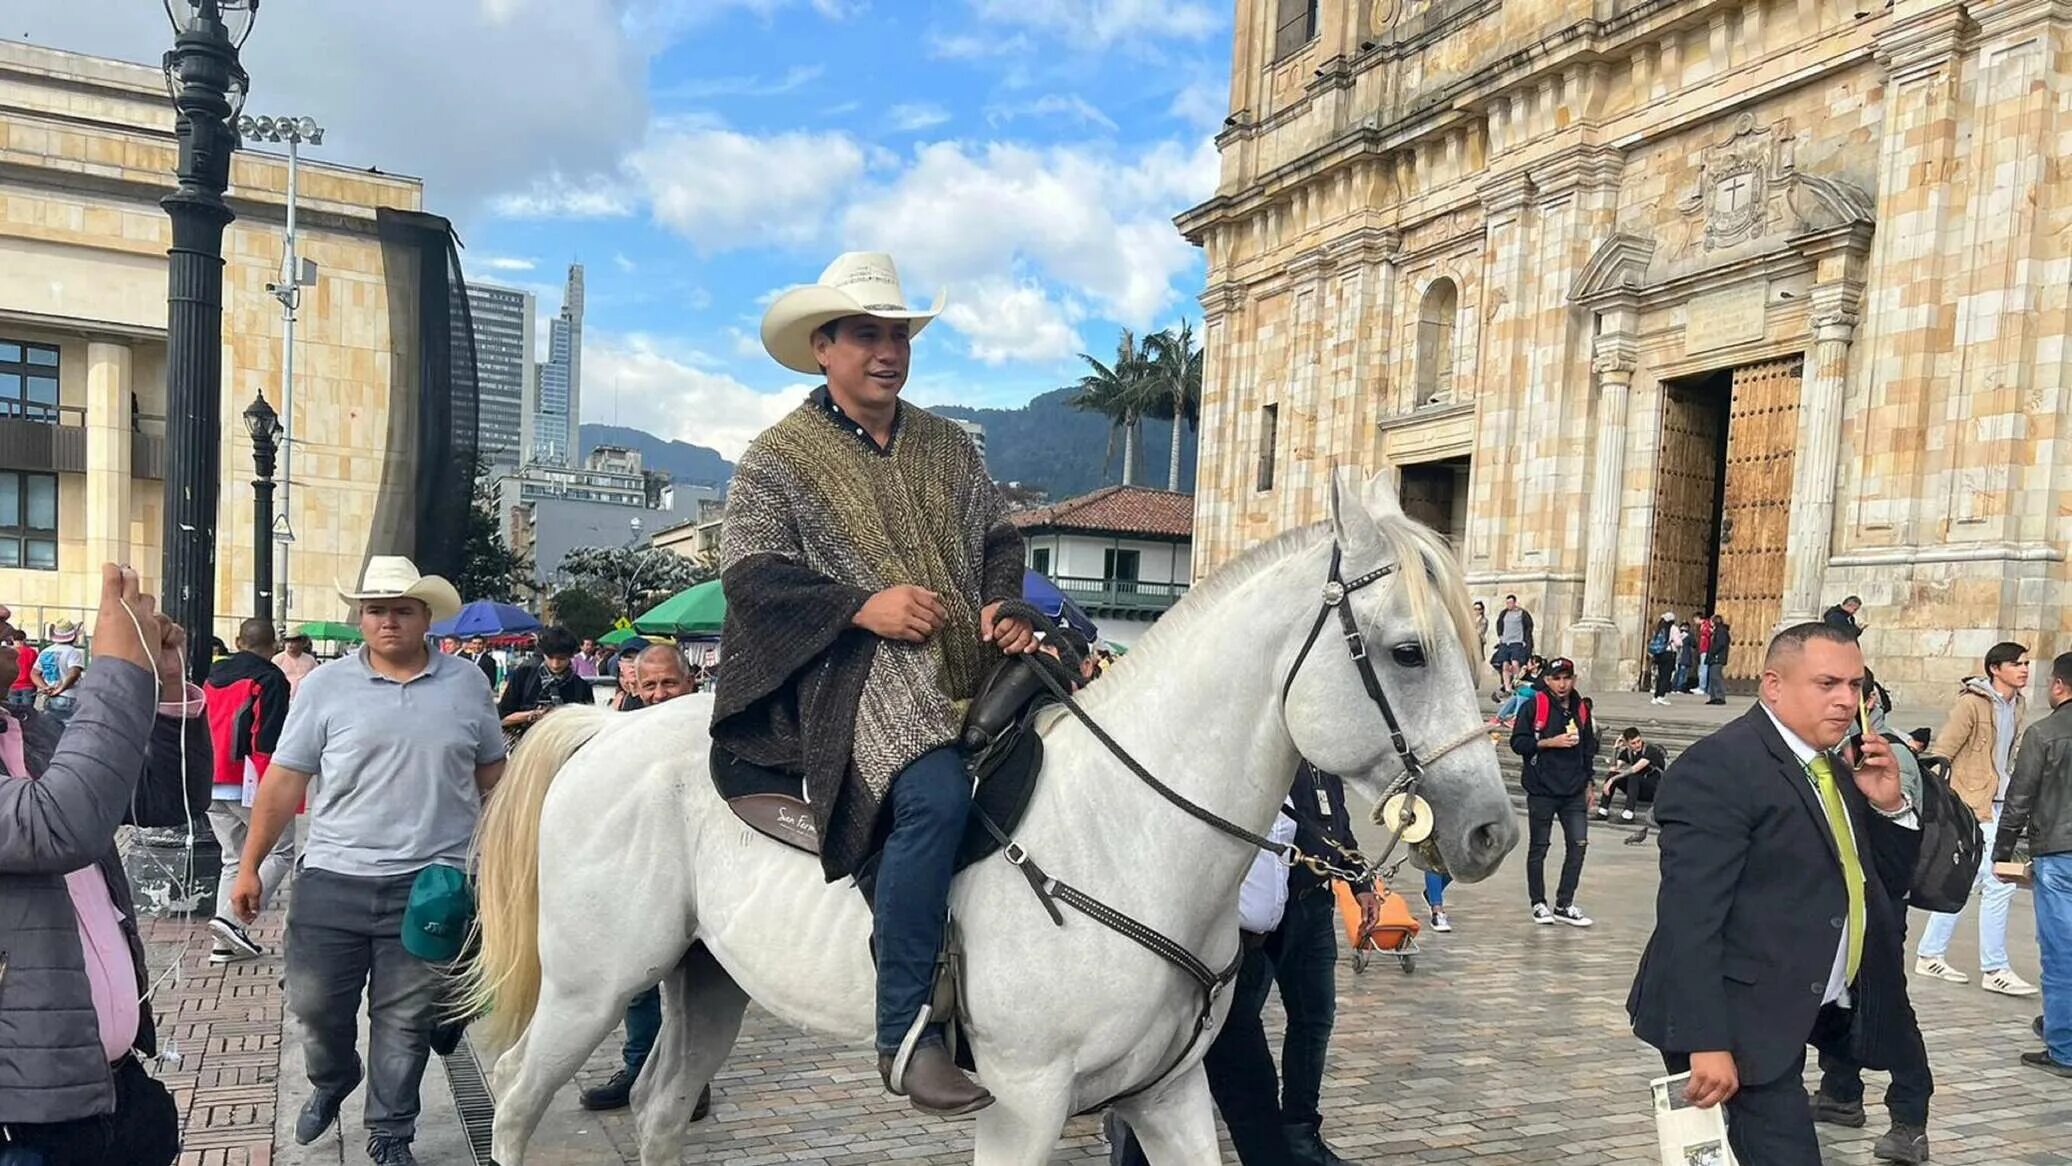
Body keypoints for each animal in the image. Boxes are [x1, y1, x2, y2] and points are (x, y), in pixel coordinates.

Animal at [470, 470, 1524, 1159]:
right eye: (1408, 652)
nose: (1490, 831)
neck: (1128, 838)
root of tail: (602, 731)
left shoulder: (1170, 1095)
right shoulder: (1020, 1106)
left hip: (707, 978)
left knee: (659, 1107)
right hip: (592, 985)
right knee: (518, 1097)